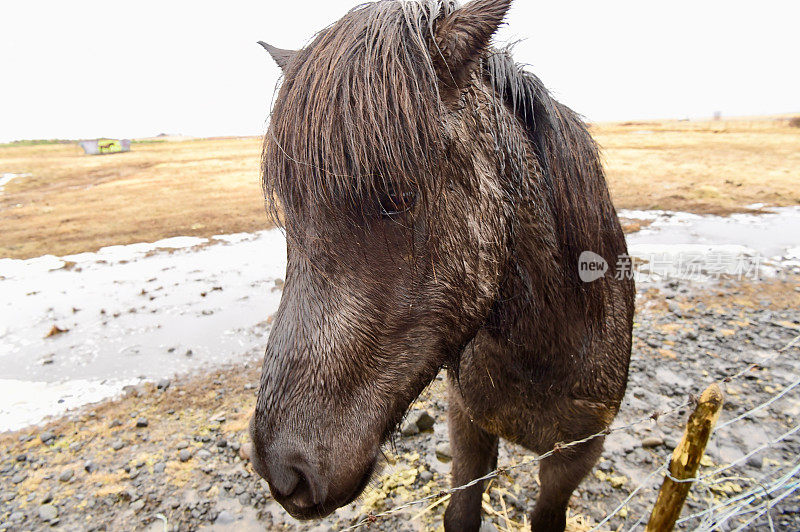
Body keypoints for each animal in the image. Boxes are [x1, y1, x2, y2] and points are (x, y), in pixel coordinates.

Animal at [253, 2, 636, 528]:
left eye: (396, 196)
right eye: (289, 213)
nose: (284, 470)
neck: (546, 348)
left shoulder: (577, 454)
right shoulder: (467, 424)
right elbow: (460, 512)